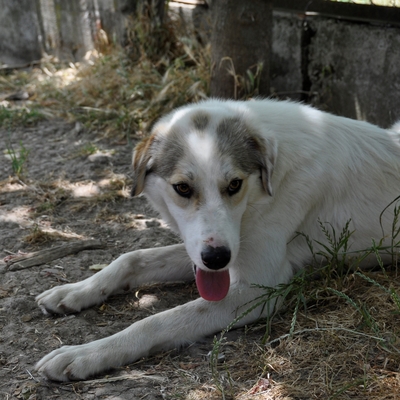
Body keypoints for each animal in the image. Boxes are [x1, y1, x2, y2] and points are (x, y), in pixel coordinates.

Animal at [35, 98, 400, 380]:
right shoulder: (207, 250)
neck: (263, 192)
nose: (217, 259)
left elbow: (157, 320)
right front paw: (75, 291)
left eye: (235, 184)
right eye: (182, 188)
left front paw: (86, 354)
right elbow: (131, 259)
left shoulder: (259, 290)